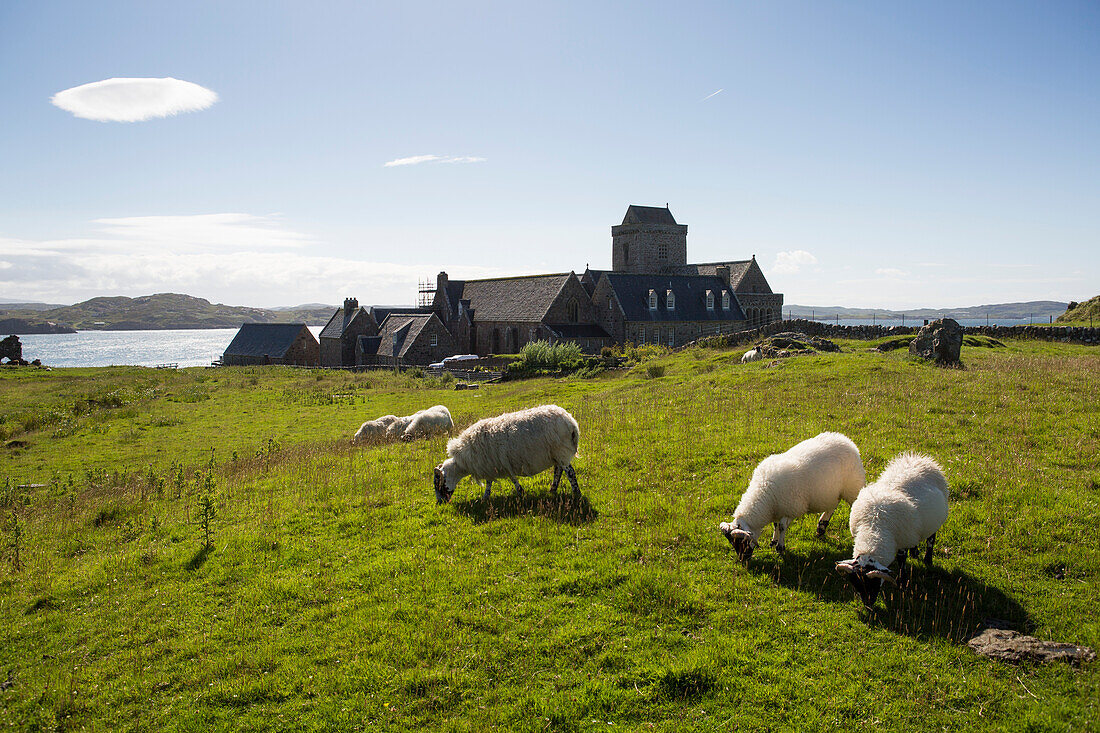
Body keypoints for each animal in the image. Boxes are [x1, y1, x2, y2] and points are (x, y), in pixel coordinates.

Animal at [433, 402, 580, 506]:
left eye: (438, 481)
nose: (440, 503)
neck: (463, 462)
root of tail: (571, 422)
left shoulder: (500, 463)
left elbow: (511, 479)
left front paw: (520, 492)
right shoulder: (491, 465)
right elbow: (490, 482)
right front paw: (486, 498)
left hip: (561, 450)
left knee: (570, 472)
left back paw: (576, 493)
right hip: (557, 453)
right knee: (558, 470)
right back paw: (553, 490)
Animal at [721, 433, 866, 559]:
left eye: (741, 542)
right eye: (732, 542)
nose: (743, 559)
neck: (764, 492)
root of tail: (845, 439)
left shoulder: (791, 508)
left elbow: (782, 526)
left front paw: (780, 548)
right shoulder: (778, 508)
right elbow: (775, 525)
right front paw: (773, 541)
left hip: (852, 487)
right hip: (831, 491)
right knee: (833, 505)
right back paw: (821, 527)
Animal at [831, 451, 946, 603]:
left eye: (873, 583)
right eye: (856, 583)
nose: (868, 604)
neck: (874, 527)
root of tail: (918, 458)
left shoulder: (902, 541)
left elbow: (902, 561)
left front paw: (902, 582)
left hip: (934, 521)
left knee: (931, 539)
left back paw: (928, 560)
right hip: (914, 528)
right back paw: (915, 552)